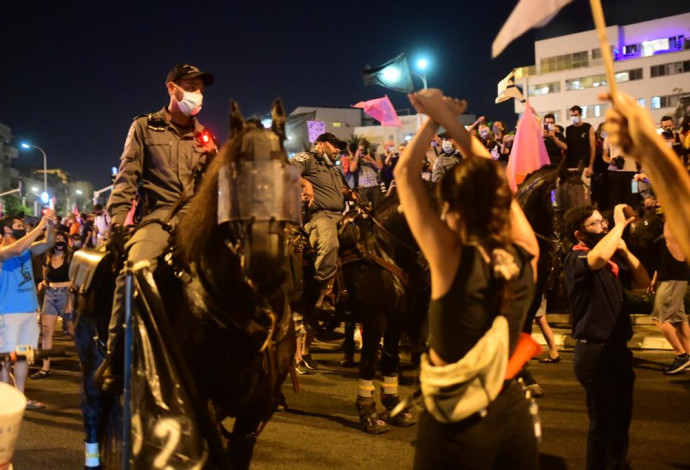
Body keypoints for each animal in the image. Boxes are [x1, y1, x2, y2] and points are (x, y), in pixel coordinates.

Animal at [76, 98, 298, 466]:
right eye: (230, 178)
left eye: (286, 171)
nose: (264, 263)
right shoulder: (203, 404)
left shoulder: (253, 415)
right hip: (90, 361)